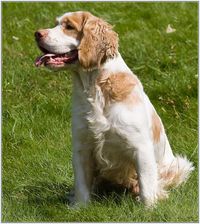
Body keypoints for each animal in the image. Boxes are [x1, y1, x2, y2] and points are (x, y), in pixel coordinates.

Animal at [35, 10, 195, 206]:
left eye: (69, 26)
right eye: (56, 23)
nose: (37, 34)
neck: (95, 89)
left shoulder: (140, 148)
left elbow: (146, 185)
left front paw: (149, 208)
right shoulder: (81, 146)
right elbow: (81, 185)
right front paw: (79, 207)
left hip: (179, 165)